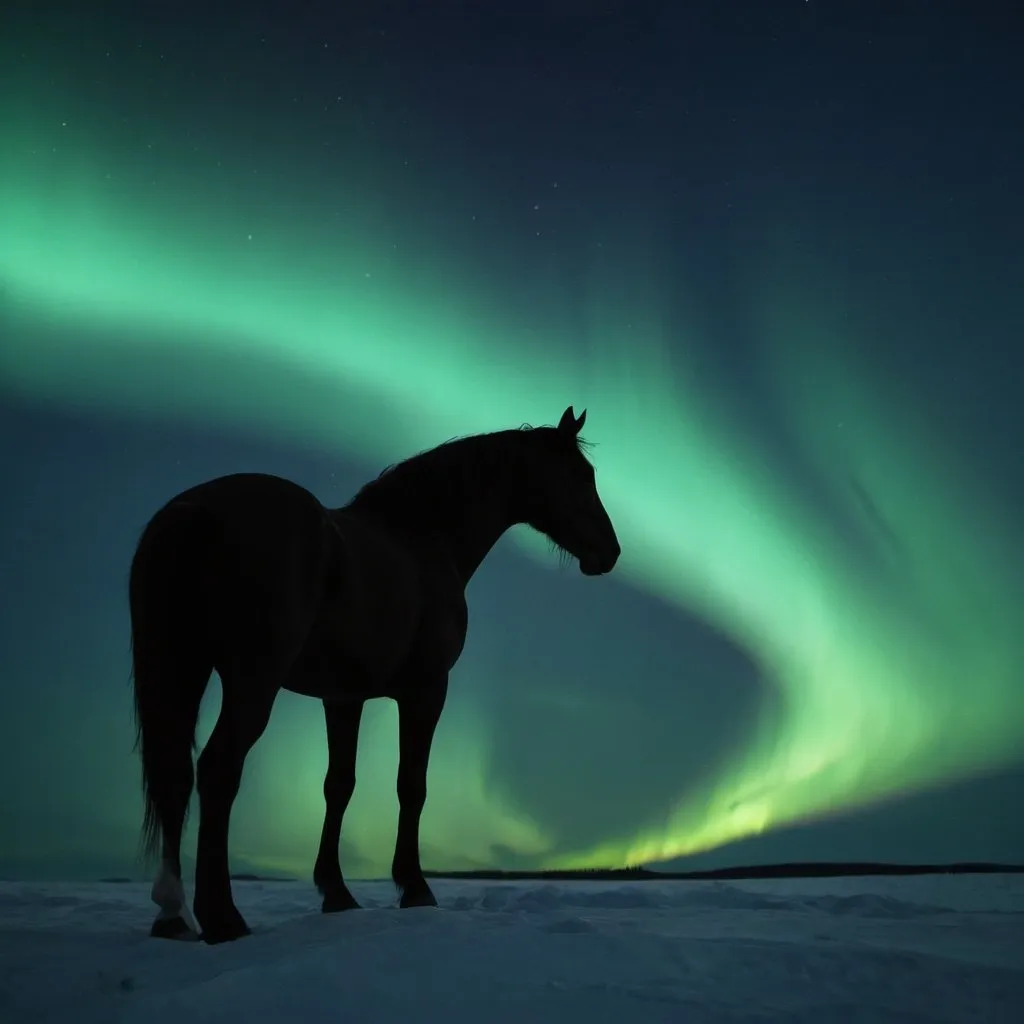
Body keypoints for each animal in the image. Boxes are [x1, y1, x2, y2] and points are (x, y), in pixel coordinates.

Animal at [131, 405, 618, 942]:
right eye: (581, 475)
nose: (610, 551)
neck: (423, 538)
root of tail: (193, 512)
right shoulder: (427, 689)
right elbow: (412, 785)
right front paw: (416, 888)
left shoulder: (343, 697)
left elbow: (339, 786)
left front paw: (337, 894)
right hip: (251, 680)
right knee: (218, 769)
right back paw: (222, 917)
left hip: (184, 669)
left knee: (175, 778)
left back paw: (172, 915)